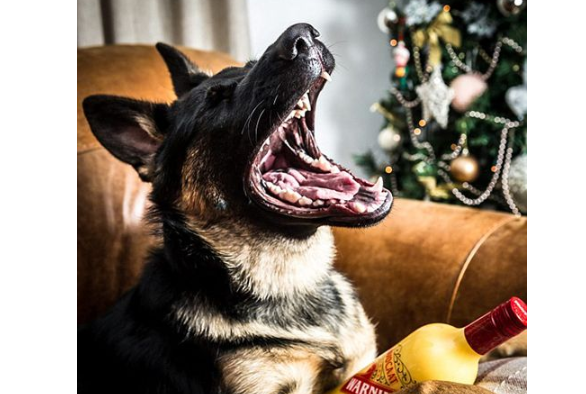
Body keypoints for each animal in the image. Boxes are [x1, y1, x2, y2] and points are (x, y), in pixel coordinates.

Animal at [78, 23, 488, 394]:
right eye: (216, 99)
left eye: (249, 66)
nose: (303, 35)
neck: (289, 283)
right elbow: (427, 382)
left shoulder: (362, 363)